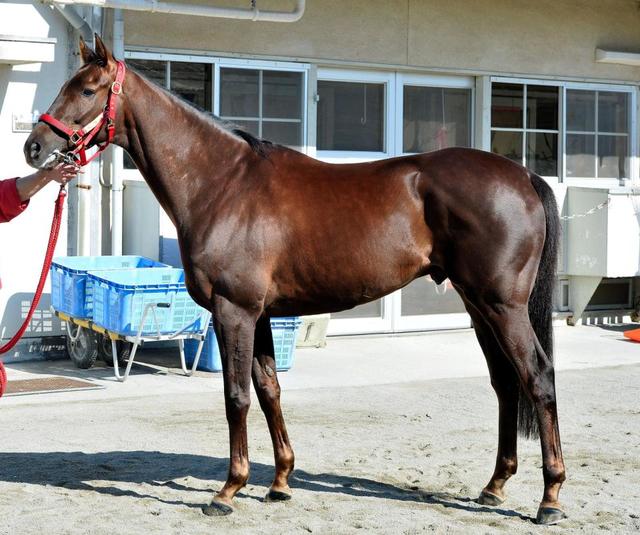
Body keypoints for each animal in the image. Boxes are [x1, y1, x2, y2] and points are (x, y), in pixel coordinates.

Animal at [25, 35, 566, 525]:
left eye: (88, 89)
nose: (34, 146)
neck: (222, 184)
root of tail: (522, 177)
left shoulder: (234, 311)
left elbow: (237, 397)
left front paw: (229, 489)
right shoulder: (260, 315)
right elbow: (269, 391)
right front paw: (281, 481)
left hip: (503, 307)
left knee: (537, 376)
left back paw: (550, 498)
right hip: (479, 306)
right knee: (505, 382)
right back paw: (494, 486)